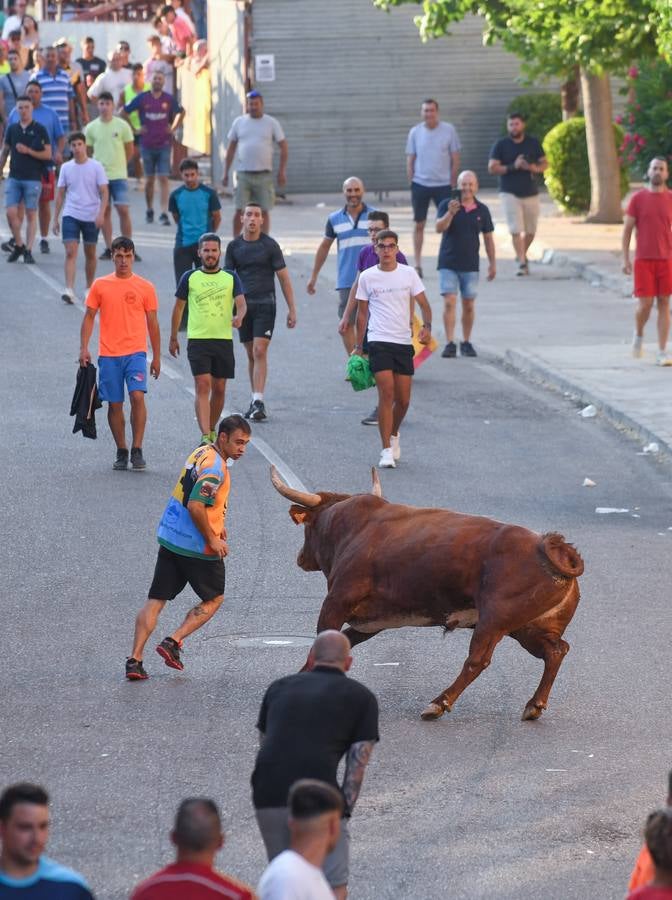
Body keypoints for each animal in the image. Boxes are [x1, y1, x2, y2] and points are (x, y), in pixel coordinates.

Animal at [270, 468, 584, 720]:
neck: (352, 527)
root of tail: (550, 546)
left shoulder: (336, 602)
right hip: (528, 628)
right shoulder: (372, 621)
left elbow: (322, 640)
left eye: (308, 527)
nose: (301, 558)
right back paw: (534, 705)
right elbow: (346, 639)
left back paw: (438, 703)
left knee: (477, 660)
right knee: (556, 651)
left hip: (494, 622)